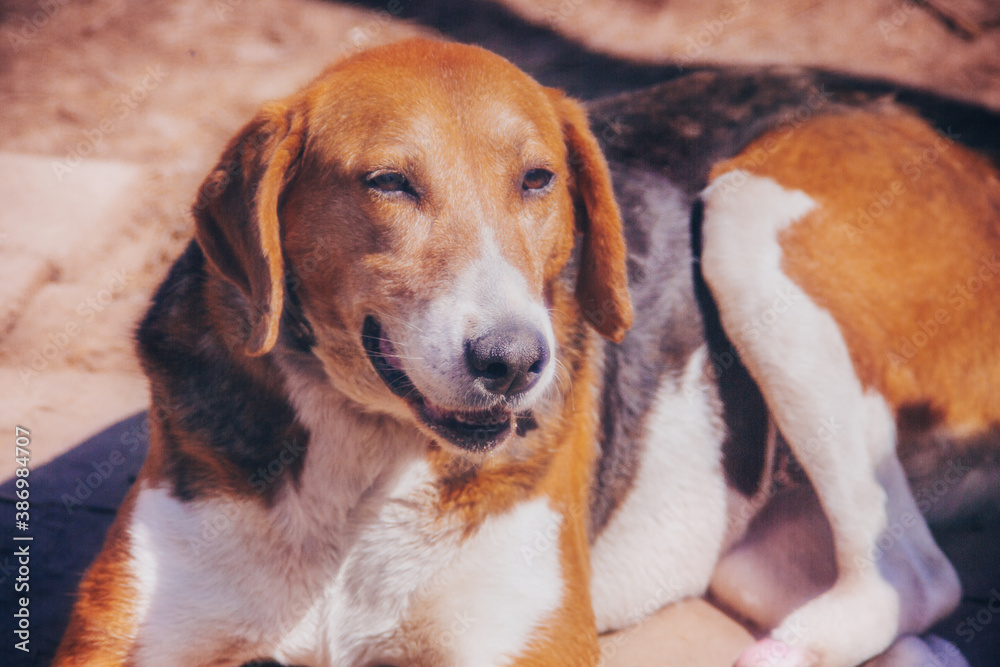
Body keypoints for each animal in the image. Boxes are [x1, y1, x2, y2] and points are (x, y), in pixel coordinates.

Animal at [56, 37, 1000, 667]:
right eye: (389, 183)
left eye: (539, 179)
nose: (513, 362)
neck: (365, 457)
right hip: (753, 553)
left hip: (748, 219)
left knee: (913, 574)